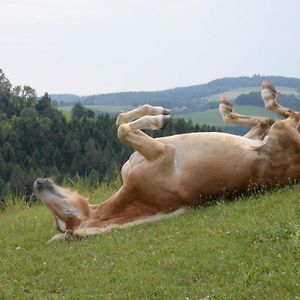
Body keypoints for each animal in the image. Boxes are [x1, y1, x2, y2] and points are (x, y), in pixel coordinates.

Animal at [33, 81, 300, 243]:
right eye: (65, 216)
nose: (38, 184)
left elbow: (119, 122)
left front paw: (158, 112)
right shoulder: (164, 152)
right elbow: (123, 129)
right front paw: (159, 119)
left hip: (260, 135)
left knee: (265, 121)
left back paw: (233, 105)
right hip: (282, 132)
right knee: (282, 117)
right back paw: (263, 96)